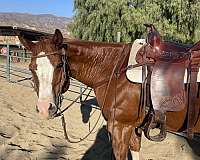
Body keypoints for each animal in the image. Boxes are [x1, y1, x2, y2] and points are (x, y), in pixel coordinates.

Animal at [19, 29, 200, 160]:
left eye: (58, 65)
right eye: (31, 68)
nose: (44, 108)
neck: (114, 69)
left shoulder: (120, 128)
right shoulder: (133, 127)